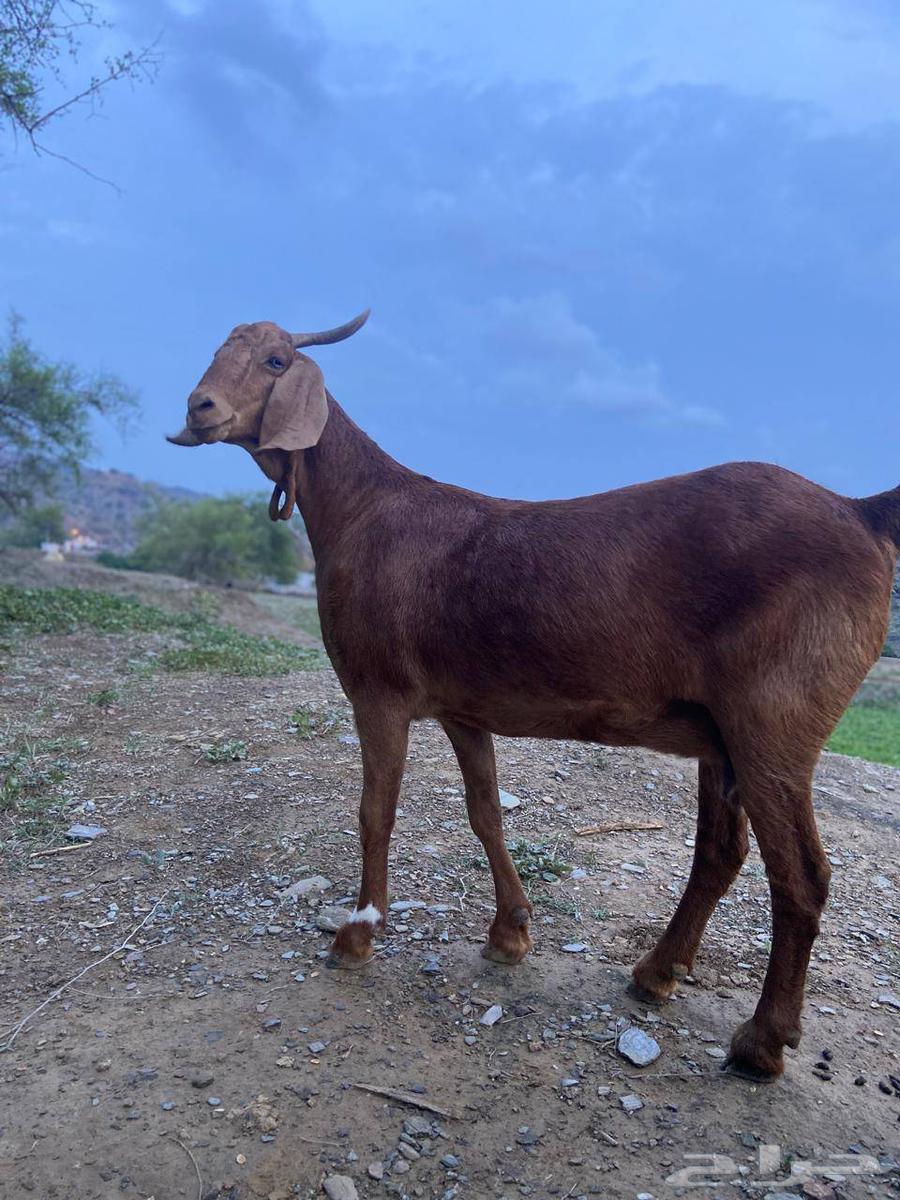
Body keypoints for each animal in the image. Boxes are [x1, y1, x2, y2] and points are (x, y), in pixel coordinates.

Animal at [167, 311, 899, 1081]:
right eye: (219, 352)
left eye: (277, 361)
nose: (200, 407)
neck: (361, 510)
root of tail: (863, 512)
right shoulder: (462, 708)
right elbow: (485, 812)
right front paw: (509, 934)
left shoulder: (378, 691)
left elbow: (376, 813)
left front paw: (358, 935)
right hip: (721, 735)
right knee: (720, 853)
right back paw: (656, 974)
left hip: (775, 720)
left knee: (802, 877)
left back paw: (761, 1041)